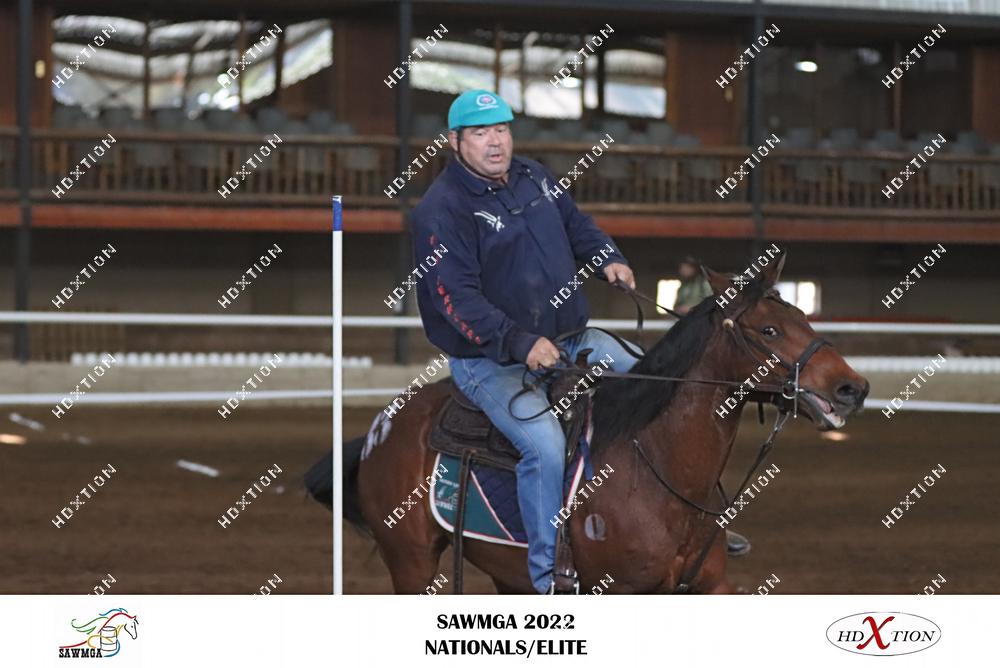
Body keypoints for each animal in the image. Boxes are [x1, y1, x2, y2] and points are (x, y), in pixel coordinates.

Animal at [341, 254, 869, 593]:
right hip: (411, 563)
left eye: (803, 316)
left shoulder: (710, 586)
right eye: (769, 330)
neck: (660, 468)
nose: (852, 387)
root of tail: (382, 428)